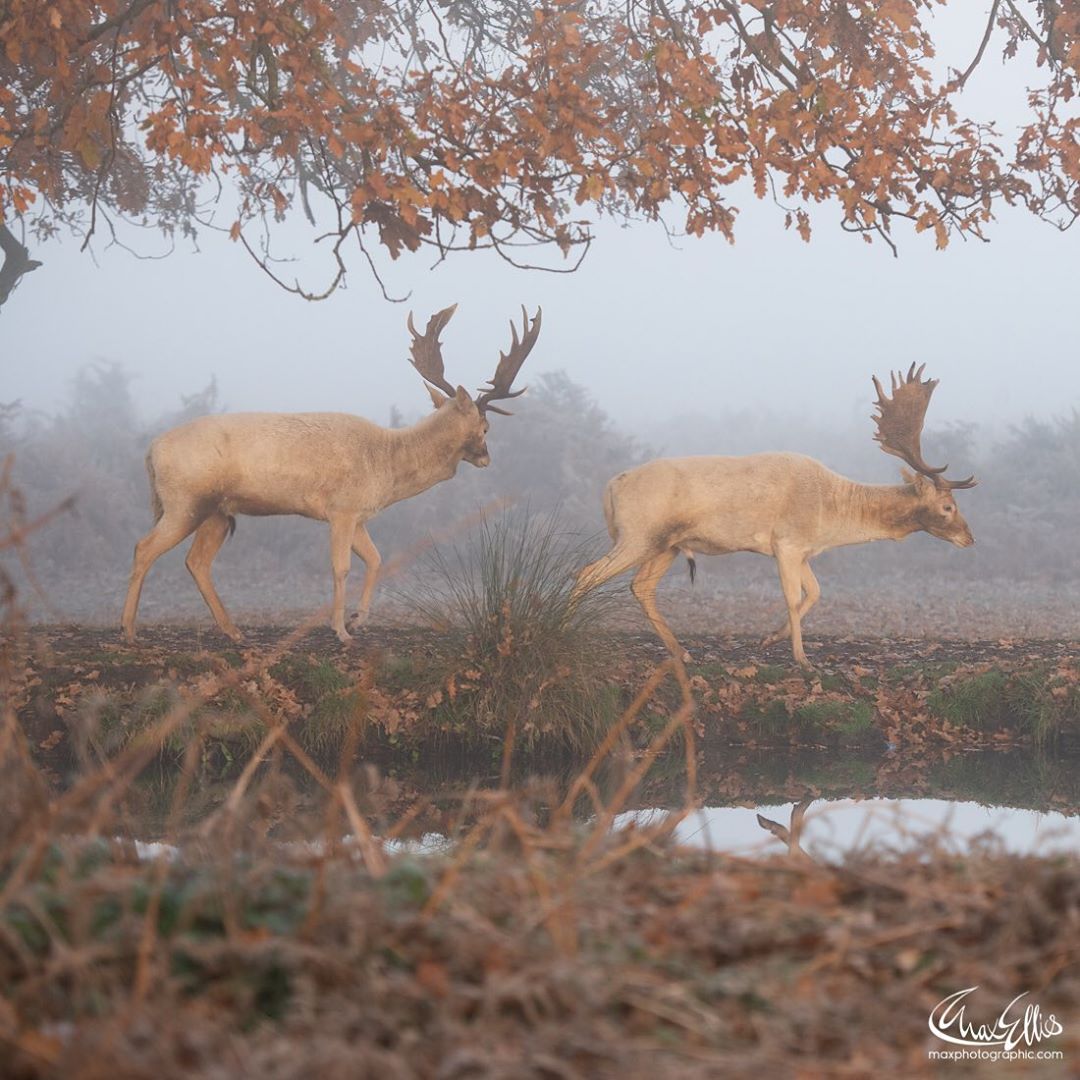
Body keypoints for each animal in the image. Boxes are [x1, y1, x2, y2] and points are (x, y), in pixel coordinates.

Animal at [121, 302, 540, 639]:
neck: (386, 465)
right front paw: (340, 630)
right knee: (144, 548)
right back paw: (128, 630)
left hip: (217, 512)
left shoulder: (358, 514)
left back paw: (234, 631)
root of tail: (151, 451)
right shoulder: (341, 508)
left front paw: (358, 619)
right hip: (185, 500)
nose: (486, 458)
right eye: (485, 428)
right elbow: (341, 567)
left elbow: (376, 559)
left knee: (196, 562)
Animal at [574, 367, 980, 669]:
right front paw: (802, 658)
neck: (831, 516)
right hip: (637, 534)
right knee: (587, 574)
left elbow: (814, 592)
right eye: (948, 507)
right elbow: (792, 594)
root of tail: (610, 487)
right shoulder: (786, 542)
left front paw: (770, 638)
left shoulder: (803, 550)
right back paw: (569, 629)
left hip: (666, 545)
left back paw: (682, 652)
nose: (969, 538)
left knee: (640, 586)